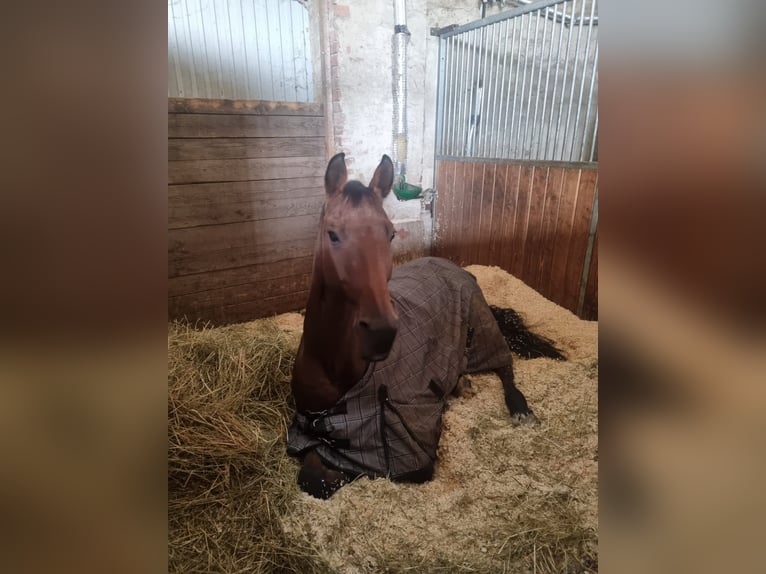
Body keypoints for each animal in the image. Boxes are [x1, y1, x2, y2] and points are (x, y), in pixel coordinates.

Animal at [286, 152, 563, 499]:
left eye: (391, 233)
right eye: (332, 234)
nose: (381, 333)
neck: (333, 368)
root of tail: (458, 268)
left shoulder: (408, 453)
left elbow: (330, 476)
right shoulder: (306, 426)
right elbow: (313, 474)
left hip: (483, 330)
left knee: (505, 366)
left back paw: (519, 409)